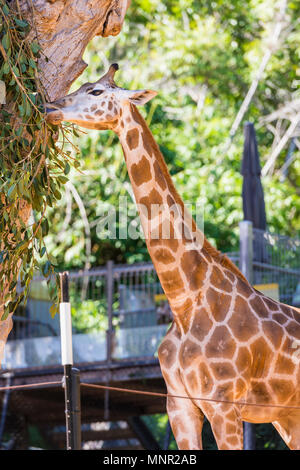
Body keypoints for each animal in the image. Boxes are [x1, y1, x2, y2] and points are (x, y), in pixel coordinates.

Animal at [45, 64, 300, 450]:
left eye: (96, 91)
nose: (49, 107)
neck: (183, 300)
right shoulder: (179, 405)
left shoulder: (223, 405)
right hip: (287, 415)